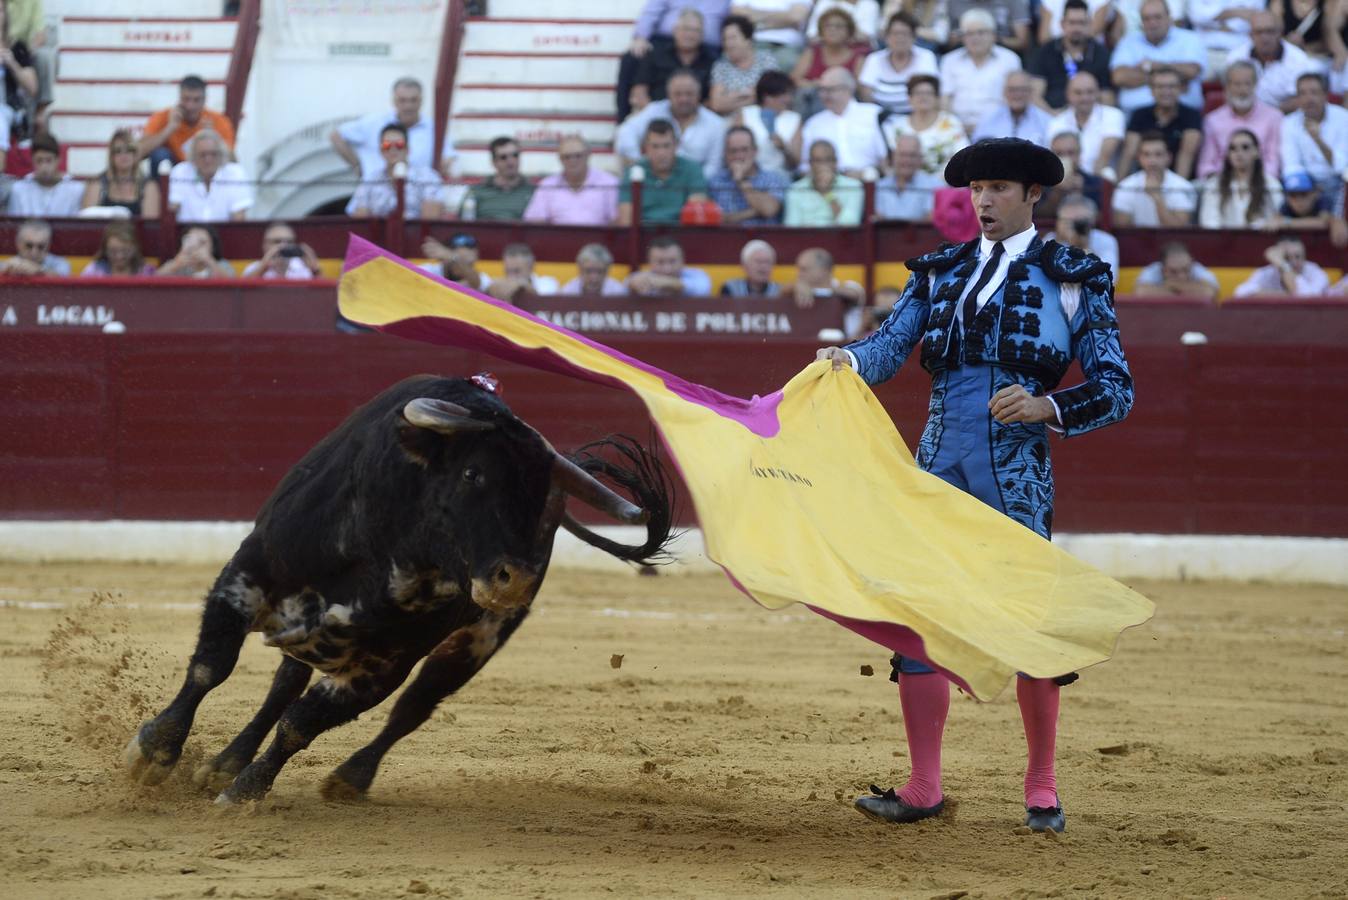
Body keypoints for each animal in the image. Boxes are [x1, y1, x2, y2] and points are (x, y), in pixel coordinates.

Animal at [124, 371, 674, 802]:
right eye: (473, 473)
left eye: (542, 499)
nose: (516, 578)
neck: (385, 548)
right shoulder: (248, 572)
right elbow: (210, 667)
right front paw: (155, 752)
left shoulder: (384, 665)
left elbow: (304, 722)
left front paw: (245, 794)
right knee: (284, 683)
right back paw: (223, 764)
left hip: (476, 642)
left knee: (412, 707)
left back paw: (349, 778)